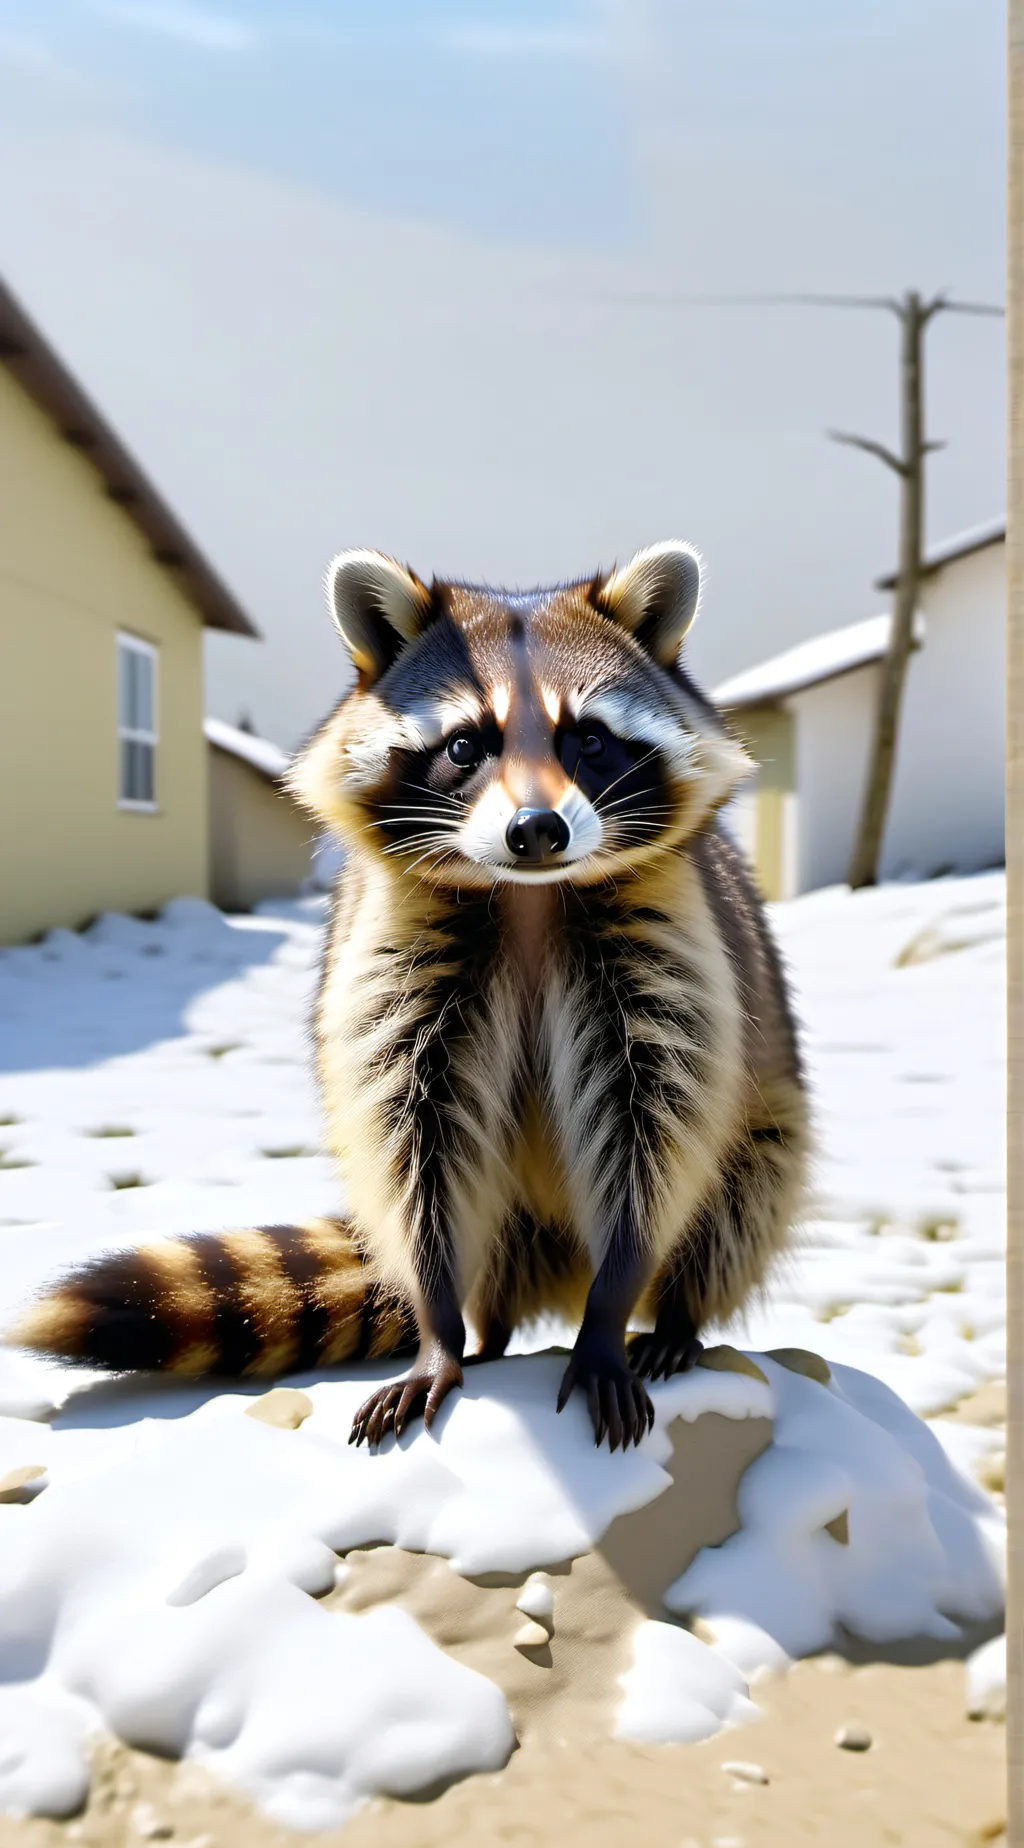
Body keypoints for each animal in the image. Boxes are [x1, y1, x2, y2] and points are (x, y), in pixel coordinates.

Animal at [8, 543, 808, 1452]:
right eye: (466, 744)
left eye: (590, 738)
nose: (537, 830)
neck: (527, 897)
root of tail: (550, 1267)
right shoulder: (396, 968)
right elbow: (415, 1147)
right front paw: (439, 1330)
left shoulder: (670, 951)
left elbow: (656, 1139)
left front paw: (611, 1311)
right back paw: (487, 1333)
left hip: (768, 1119)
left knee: (740, 1197)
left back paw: (676, 1316)